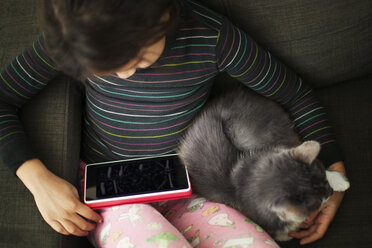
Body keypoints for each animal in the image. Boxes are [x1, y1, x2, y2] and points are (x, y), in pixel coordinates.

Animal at [179, 86, 350, 240]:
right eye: (319, 201)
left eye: (325, 184)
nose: (331, 192)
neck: (246, 176)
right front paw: (288, 233)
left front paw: (338, 180)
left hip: (250, 134)